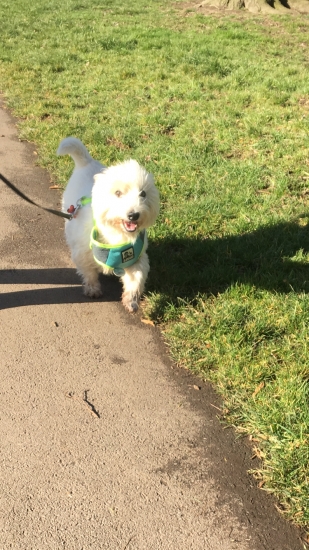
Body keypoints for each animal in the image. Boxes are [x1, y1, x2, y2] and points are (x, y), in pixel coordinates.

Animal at [56, 137, 160, 312]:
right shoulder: (83, 255)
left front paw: (131, 300)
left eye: (143, 193)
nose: (134, 215)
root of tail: (87, 162)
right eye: (117, 193)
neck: (116, 234)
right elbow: (89, 273)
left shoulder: (137, 259)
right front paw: (93, 289)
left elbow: (136, 279)